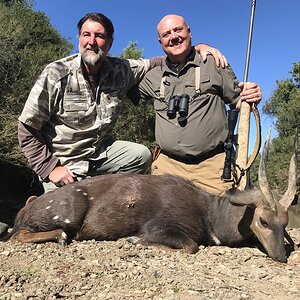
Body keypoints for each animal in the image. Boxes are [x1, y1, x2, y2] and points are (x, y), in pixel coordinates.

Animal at [2, 129, 298, 262]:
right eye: (263, 220)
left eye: (284, 222)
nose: (281, 256)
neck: (210, 213)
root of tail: (24, 209)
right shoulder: (162, 227)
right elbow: (190, 246)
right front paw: (133, 241)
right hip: (67, 214)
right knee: (20, 235)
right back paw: (61, 238)